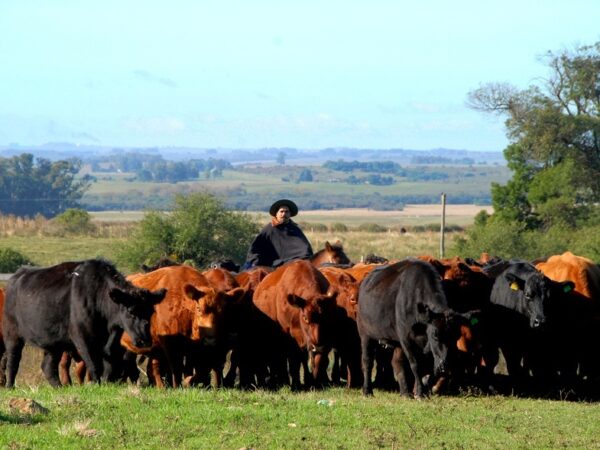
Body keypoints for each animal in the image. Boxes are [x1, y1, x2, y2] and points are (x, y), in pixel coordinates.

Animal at [2, 260, 166, 386]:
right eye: (131, 311)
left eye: (150, 312)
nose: (144, 340)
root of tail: (16, 276)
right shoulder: (82, 337)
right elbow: (94, 364)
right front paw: (96, 384)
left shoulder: (111, 341)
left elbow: (110, 364)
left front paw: (107, 382)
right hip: (12, 334)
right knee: (12, 361)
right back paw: (10, 386)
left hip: (53, 342)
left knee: (48, 366)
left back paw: (59, 387)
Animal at [356, 258, 464, 400]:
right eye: (435, 335)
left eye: (456, 336)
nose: (445, 365)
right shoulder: (406, 339)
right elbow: (415, 365)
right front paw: (420, 392)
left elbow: (425, 368)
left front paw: (422, 391)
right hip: (366, 335)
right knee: (367, 361)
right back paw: (367, 391)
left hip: (396, 342)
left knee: (397, 363)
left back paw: (405, 393)